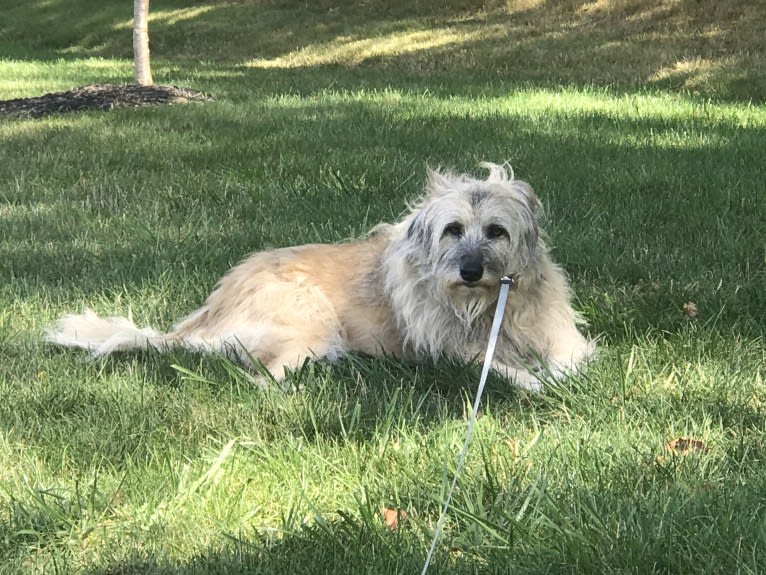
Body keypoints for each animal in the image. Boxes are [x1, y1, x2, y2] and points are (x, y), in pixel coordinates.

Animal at [45, 162, 596, 392]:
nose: (471, 271)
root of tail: (205, 314)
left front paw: (556, 376)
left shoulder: (563, 338)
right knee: (260, 380)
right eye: (453, 229)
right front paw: (535, 382)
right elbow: (507, 372)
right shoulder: (456, 354)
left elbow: (570, 364)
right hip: (311, 322)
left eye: (497, 231)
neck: (487, 306)